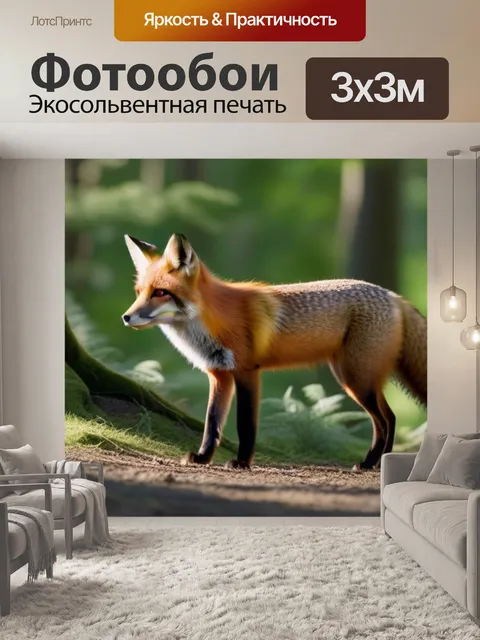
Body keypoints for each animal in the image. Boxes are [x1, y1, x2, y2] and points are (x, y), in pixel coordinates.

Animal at [122, 233, 427, 471]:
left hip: (356, 380)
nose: (126, 317)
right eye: (139, 292)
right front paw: (203, 458)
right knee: (390, 417)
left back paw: (369, 463)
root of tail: (392, 295)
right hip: (360, 379)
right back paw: (380, 463)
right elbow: (212, 424)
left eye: (161, 292)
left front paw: (242, 463)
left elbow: (245, 424)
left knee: (384, 421)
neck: (212, 322)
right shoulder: (219, 375)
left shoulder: (247, 372)